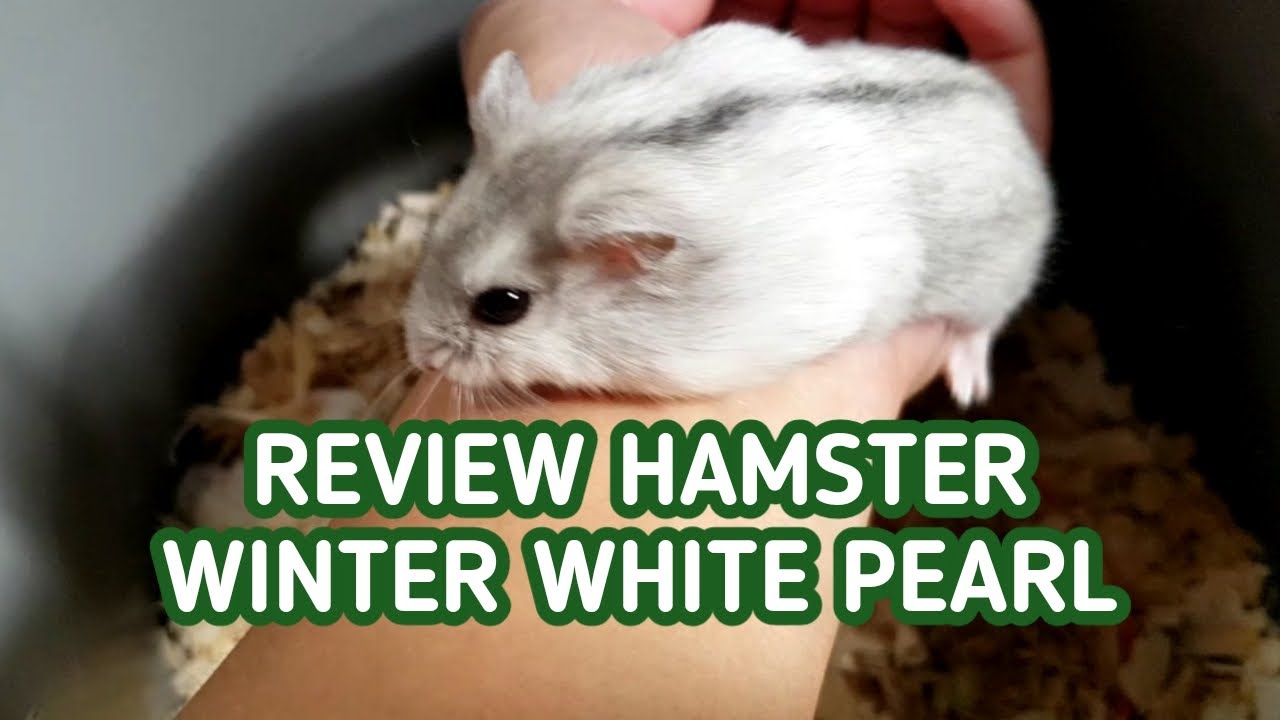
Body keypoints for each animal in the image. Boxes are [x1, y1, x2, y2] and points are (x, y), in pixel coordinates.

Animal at [402, 21, 1055, 407]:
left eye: (502, 306)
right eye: (433, 233)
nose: (418, 355)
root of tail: (1010, 121)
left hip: (996, 278)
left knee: (983, 325)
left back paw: (968, 386)